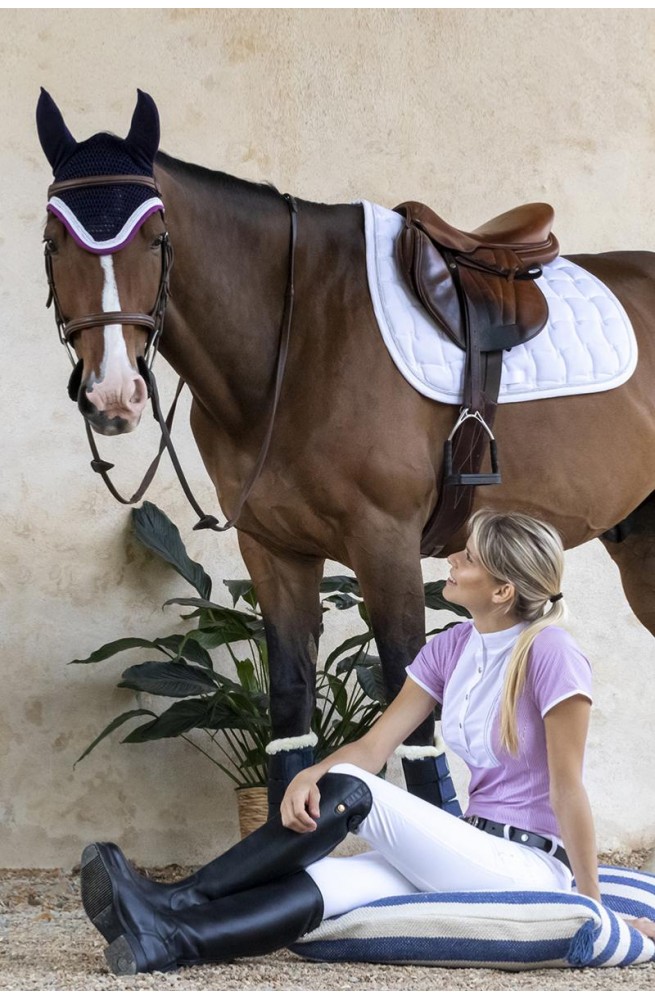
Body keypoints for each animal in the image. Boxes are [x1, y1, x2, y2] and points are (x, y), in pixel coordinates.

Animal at [37, 90, 655, 816]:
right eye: (52, 242)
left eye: (156, 237)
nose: (114, 395)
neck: (299, 335)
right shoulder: (272, 550)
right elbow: (289, 714)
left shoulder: (384, 544)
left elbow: (412, 721)